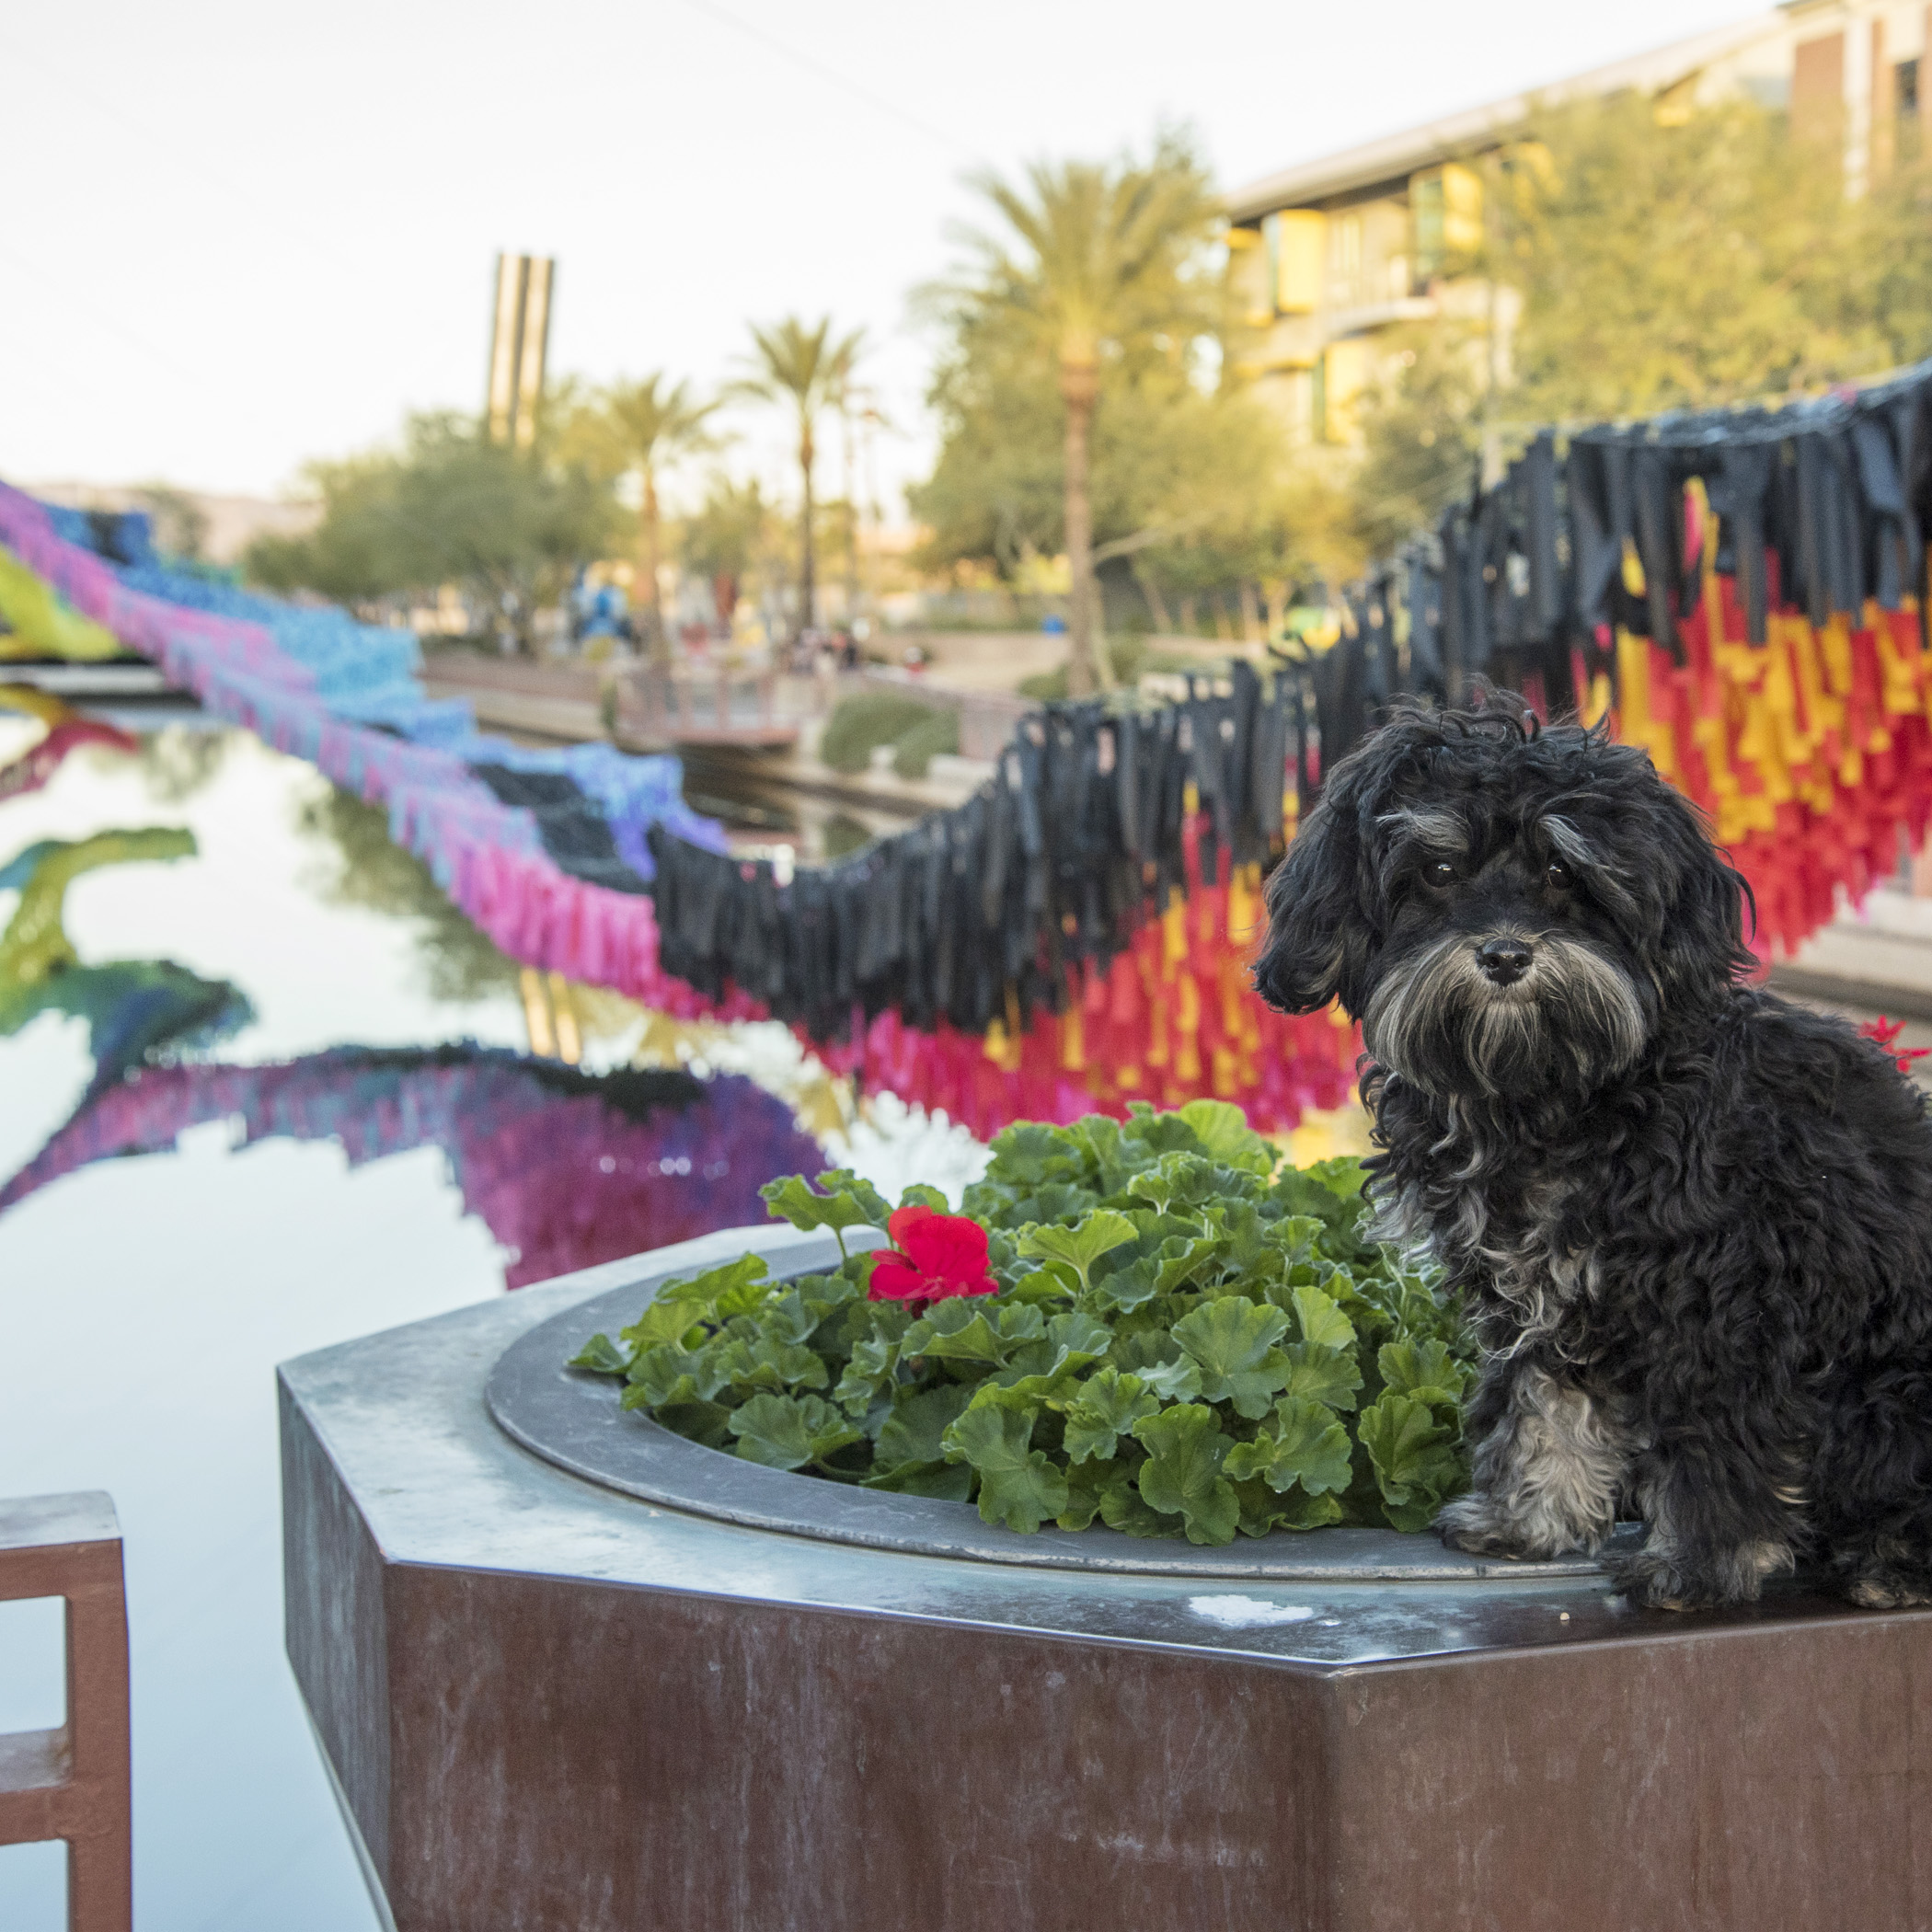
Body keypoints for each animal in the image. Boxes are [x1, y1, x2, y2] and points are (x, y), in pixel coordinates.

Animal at [1251, 703, 1932, 1607]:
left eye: (1563, 872)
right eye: (1439, 869)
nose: (1506, 954)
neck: (1549, 1095)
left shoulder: (1720, 1305)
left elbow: (1714, 1443)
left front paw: (1698, 1564)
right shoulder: (1538, 1295)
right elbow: (1544, 1406)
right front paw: (1529, 1519)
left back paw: (1892, 1560)